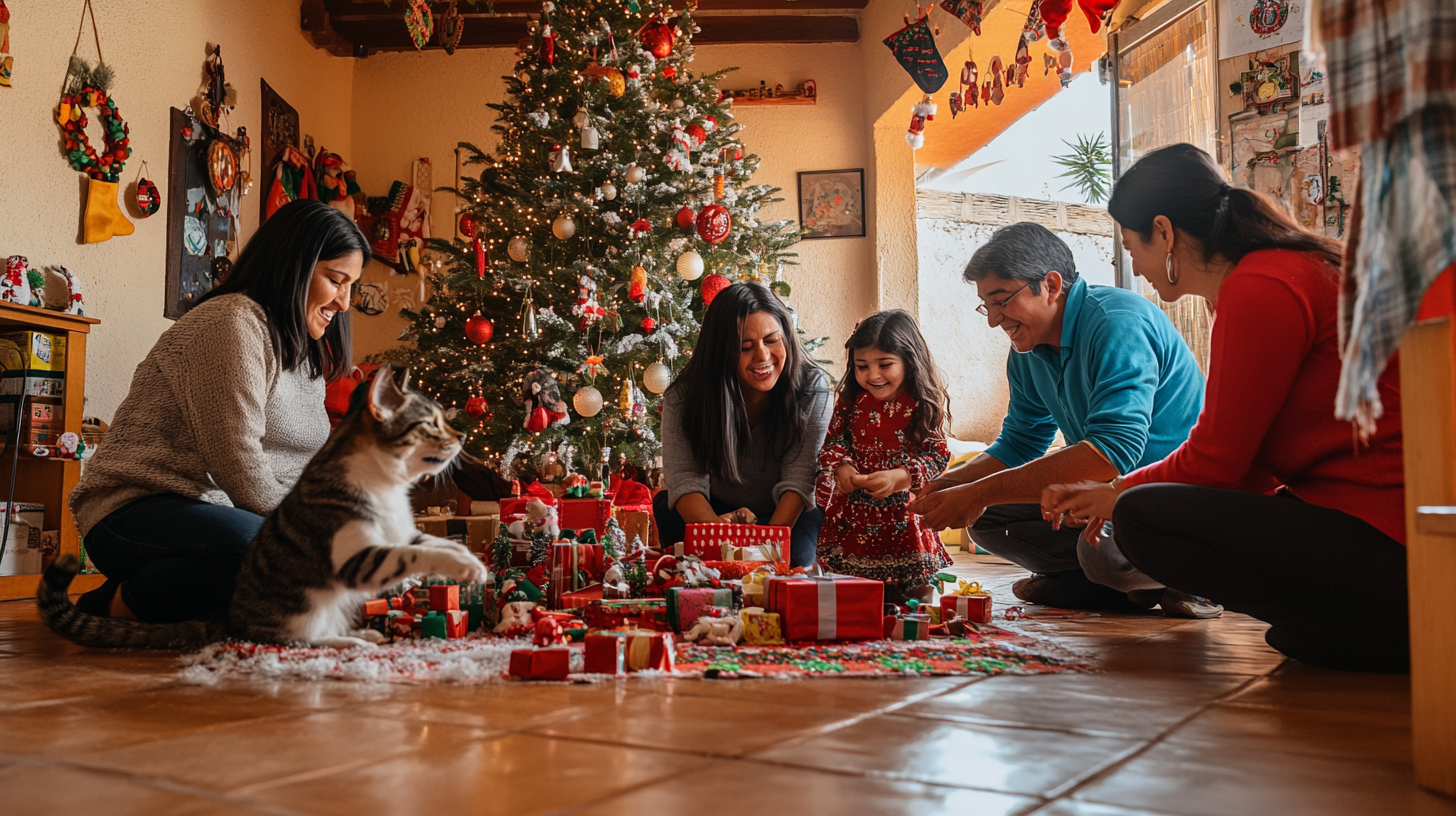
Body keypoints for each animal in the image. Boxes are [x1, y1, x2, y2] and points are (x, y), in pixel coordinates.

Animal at [38, 367, 489, 646]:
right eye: (431, 423)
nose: (464, 436)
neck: (388, 486)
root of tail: (228, 618)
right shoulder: (356, 556)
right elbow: (411, 555)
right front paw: (465, 568)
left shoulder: (401, 529)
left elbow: (437, 543)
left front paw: (470, 561)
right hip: (302, 609)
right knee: (296, 638)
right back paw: (351, 642)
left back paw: (364, 634)